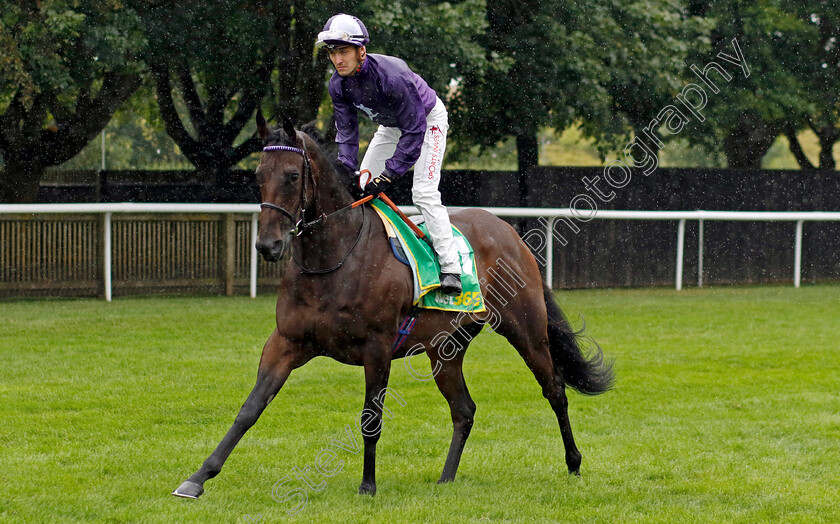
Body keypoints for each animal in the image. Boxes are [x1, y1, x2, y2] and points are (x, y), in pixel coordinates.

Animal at [174, 117, 612, 500]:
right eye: (258, 174)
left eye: (293, 176)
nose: (268, 245)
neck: (334, 259)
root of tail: (510, 232)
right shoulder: (286, 342)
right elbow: (250, 409)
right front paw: (198, 478)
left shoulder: (377, 348)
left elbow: (371, 420)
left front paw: (368, 485)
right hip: (445, 348)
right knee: (464, 409)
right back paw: (446, 478)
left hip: (525, 328)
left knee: (554, 389)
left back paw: (573, 463)